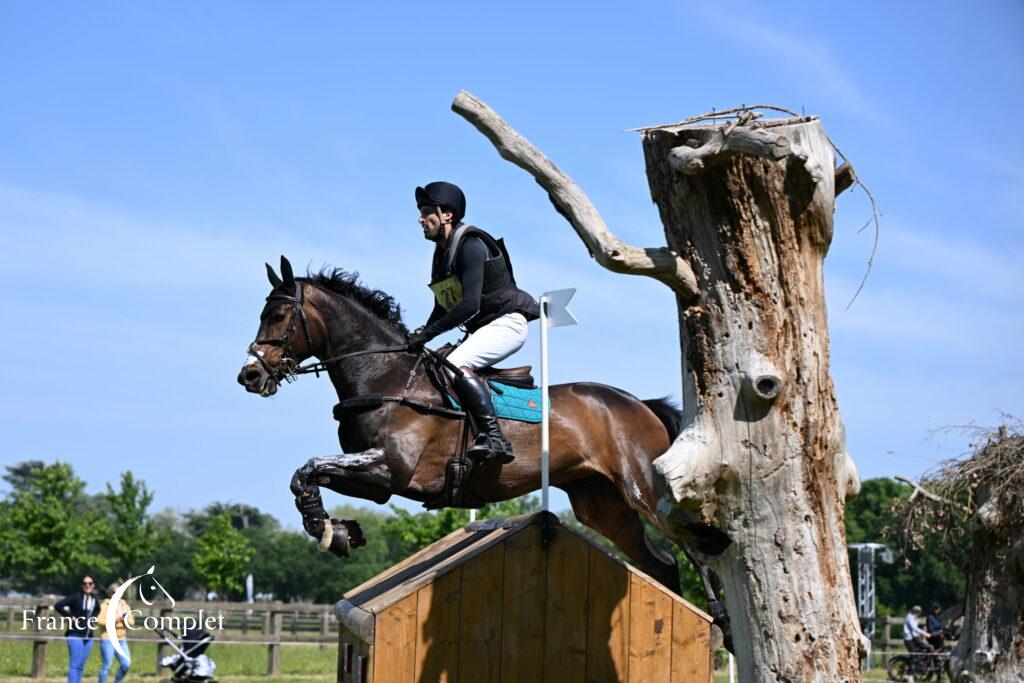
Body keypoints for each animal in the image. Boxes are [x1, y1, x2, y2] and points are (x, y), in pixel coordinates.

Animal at [234, 258, 729, 610]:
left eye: (278, 315)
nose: (249, 375)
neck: (387, 376)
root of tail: (639, 403)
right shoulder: (376, 482)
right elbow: (308, 474)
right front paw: (339, 530)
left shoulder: (390, 471)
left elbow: (307, 469)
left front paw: (328, 531)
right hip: (602, 505)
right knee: (663, 564)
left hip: (644, 490)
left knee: (697, 553)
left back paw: (720, 623)